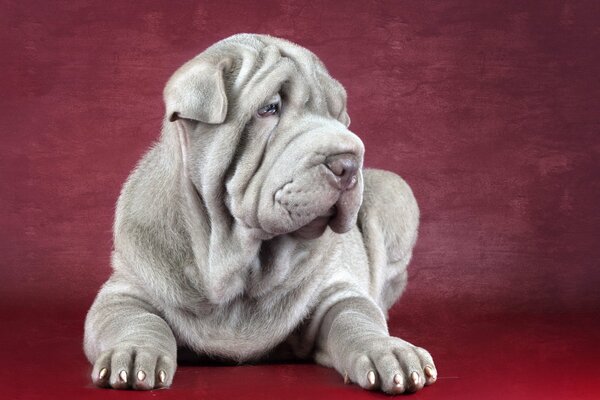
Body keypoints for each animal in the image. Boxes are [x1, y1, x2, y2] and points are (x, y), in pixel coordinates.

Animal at [83, 33, 436, 394]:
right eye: (269, 108)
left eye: (340, 116)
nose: (348, 163)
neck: (241, 267)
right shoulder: (125, 292)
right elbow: (137, 320)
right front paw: (134, 352)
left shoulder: (337, 292)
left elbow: (356, 318)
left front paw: (389, 351)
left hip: (395, 190)